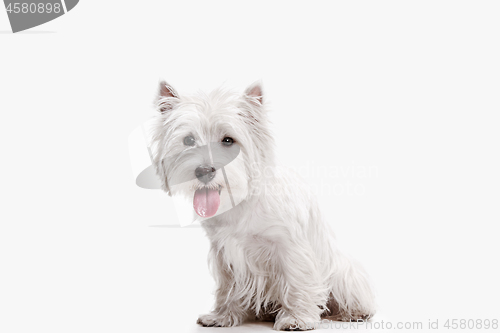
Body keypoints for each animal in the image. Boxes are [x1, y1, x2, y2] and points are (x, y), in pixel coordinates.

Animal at [151, 80, 376, 330]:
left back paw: (353, 312)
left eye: (228, 140)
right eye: (188, 140)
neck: (240, 201)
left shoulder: (290, 247)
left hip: (343, 272)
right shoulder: (223, 252)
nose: (203, 171)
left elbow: (296, 280)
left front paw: (296, 318)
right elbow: (228, 286)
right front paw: (222, 316)